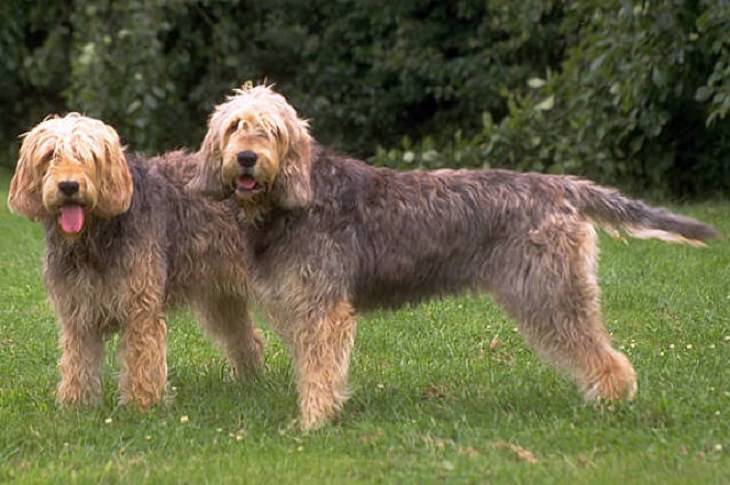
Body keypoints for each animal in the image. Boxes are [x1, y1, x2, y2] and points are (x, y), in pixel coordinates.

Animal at [7, 114, 264, 408]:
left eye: (88, 155)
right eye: (50, 155)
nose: (69, 186)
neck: (93, 236)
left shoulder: (139, 307)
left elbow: (142, 360)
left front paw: (142, 405)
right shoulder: (78, 311)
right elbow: (77, 362)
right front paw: (76, 404)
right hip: (221, 298)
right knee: (247, 338)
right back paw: (249, 380)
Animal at [189, 85, 716, 430]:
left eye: (271, 131)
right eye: (235, 126)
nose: (246, 159)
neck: (292, 199)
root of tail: (562, 186)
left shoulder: (324, 309)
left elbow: (319, 368)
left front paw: (314, 422)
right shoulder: (302, 307)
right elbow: (314, 365)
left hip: (551, 294)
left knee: (607, 357)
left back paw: (610, 402)